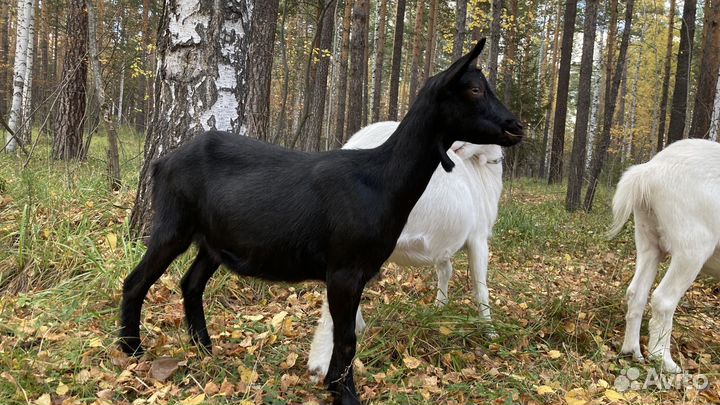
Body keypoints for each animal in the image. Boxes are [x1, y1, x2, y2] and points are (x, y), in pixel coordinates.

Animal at [307, 121, 504, 380]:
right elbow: (481, 289)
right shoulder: (479, 238)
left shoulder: (443, 243)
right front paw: (490, 334)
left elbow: (445, 271)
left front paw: (439, 308)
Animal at [610, 138, 720, 373]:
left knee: (636, 292)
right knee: (663, 299)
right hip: (693, 247)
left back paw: (632, 351)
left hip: (648, 240)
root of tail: (647, 172)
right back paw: (664, 361)